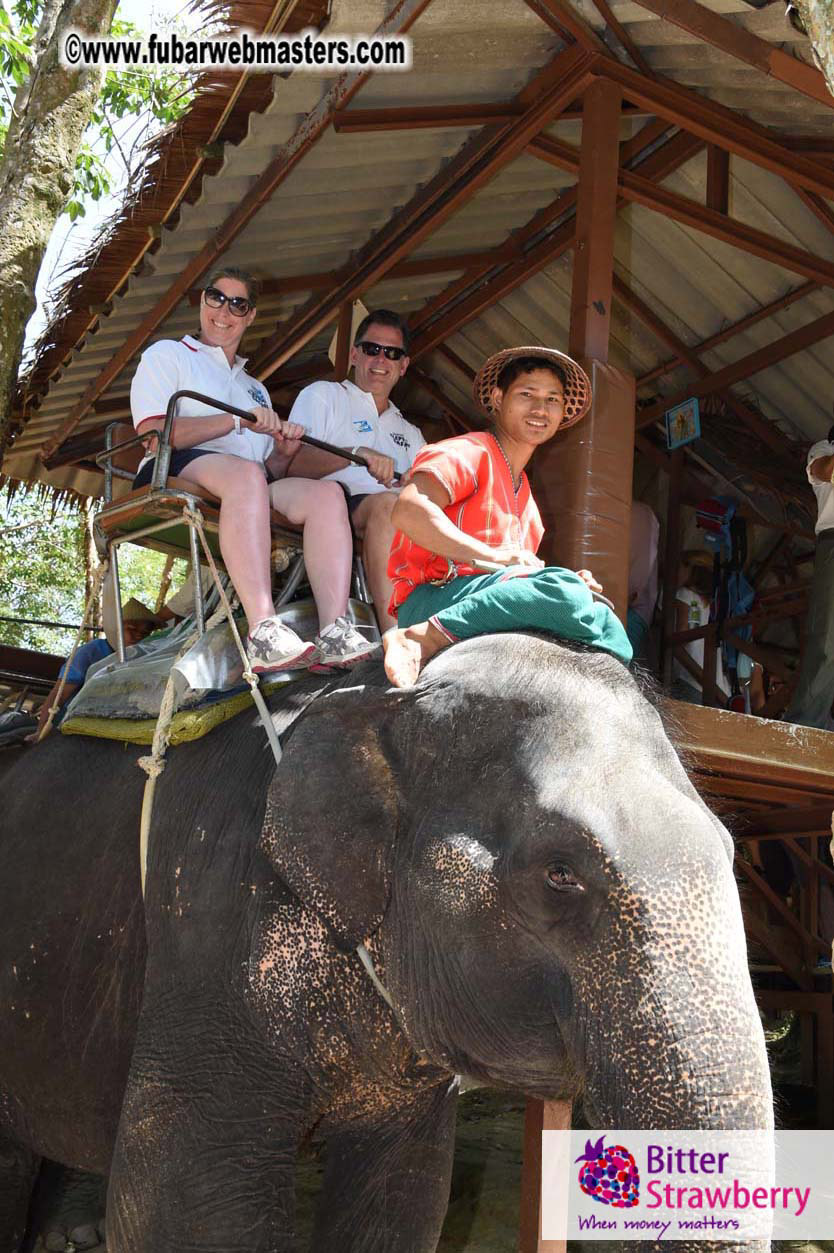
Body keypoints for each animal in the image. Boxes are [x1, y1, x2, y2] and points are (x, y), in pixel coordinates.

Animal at [0, 632, 773, 1252]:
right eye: (560, 874)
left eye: (731, 850)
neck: (383, 696)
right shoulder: (212, 931)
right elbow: (186, 1210)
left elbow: (403, 1202)